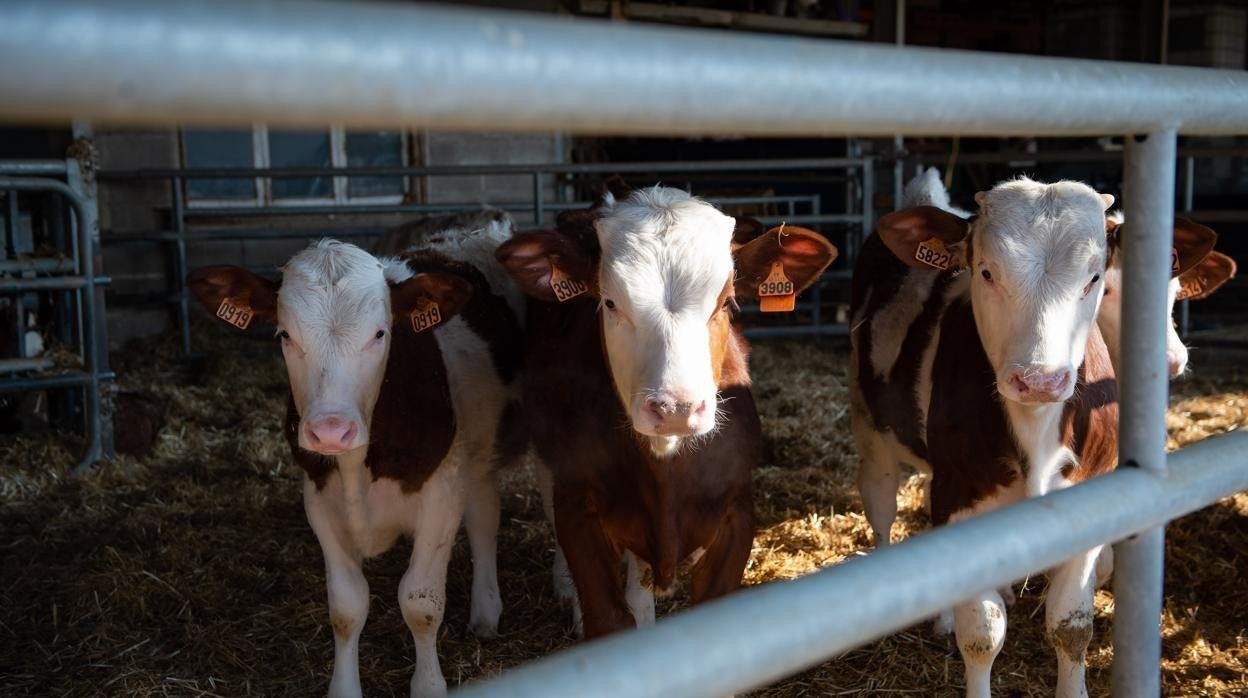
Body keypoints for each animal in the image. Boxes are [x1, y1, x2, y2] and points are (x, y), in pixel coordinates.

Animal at [187, 217, 524, 694]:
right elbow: (346, 607)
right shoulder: (318, 498)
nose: (330, 430)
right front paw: (344, 688)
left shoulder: (441, 495)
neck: (356, 469)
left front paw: (428, 686)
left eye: (380, 333)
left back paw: (487, 610)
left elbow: (420, 602)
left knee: (484, 519)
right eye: (284, 334)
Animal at [491, 186, 833, 639]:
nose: (676, 408)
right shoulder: (579, 504)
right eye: (609, 302)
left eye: (726, 302)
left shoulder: (737, 508)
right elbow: (607, 616)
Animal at [848, 178, 1143, 698]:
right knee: (881, 504)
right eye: (985, 272)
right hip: (872, 431)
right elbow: (982, 636)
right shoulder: (960, 497)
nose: (1039, 380)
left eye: (1094, 278)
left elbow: (1072, 629)